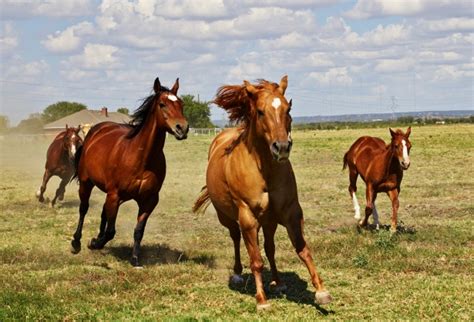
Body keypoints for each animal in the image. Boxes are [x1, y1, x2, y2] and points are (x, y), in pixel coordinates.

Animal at [70, 76, 189, 266]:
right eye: (162, 104)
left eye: (181, 103)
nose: (182, 128)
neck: (141, 158)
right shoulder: (115, 194)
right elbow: (111, 231)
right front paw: (94, 243)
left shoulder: (149, 200)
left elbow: (138, 230)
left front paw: (135, 259)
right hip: (87, 183)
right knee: (84, 208)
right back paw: (77, 243)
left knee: (103, 212)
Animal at [192, 76, 330, 310]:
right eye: (260, 111)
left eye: (288, 109)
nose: (281, 147)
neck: (264, 170)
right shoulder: (247, 216)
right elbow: (255, 260)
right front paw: (262, 300)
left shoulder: (291, 212)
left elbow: (302, 249)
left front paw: (321, 291)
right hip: (229, 218)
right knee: (236, 239)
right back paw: (238, 274)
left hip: (268, 221)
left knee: (269, 247)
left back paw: (278, 281)